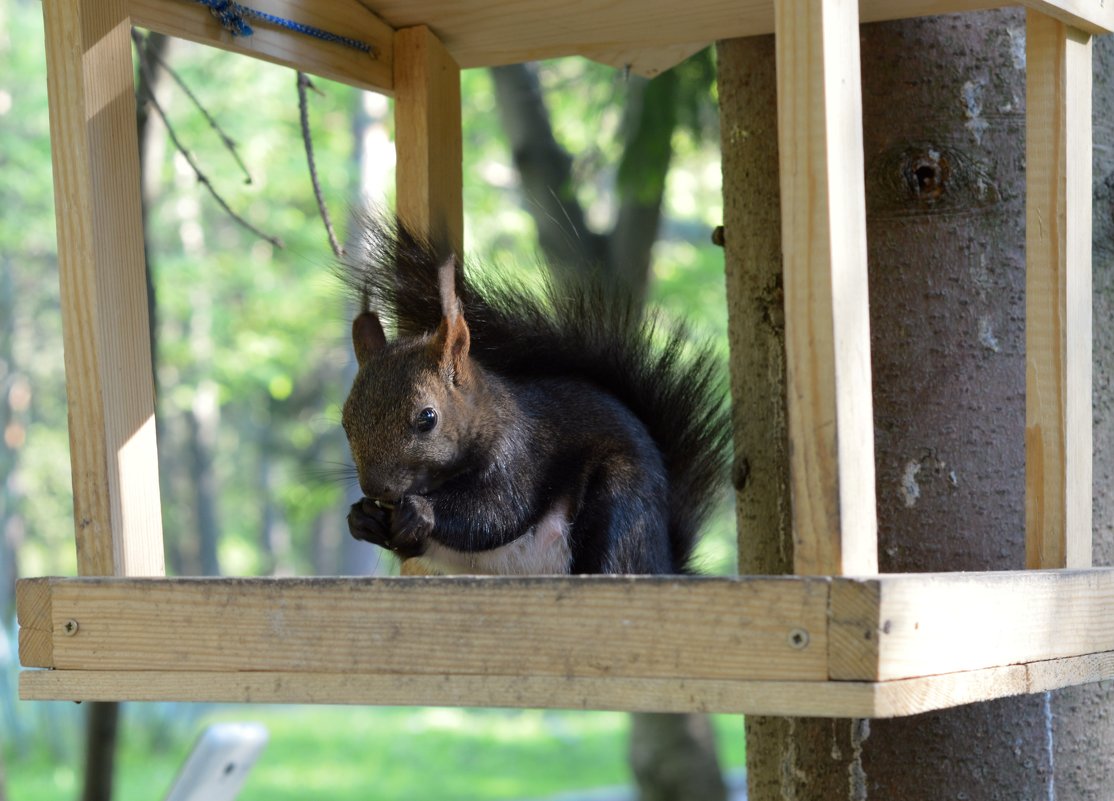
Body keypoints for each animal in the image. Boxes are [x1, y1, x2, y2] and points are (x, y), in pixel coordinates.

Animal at [336, 216, 730, 574]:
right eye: (345, 423)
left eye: (427, 418)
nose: (377, 488)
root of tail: (662, 563)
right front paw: (362, 518)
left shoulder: (521, 457)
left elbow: (496, 513)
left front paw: (421, 510)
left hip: (621, 501)